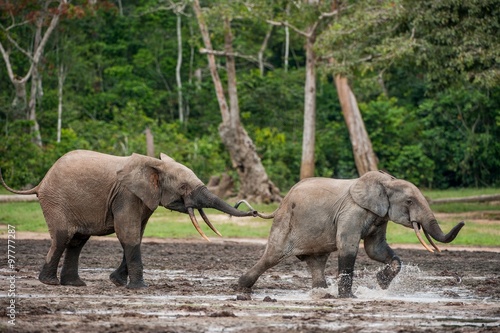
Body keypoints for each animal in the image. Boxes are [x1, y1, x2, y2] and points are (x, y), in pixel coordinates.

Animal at [0, 150, 256, 288]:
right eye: (183, 187)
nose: (253, 211)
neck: (155, 164)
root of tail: (41, 183)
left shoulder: (143, 198)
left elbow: (137, 235)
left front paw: (117, 282)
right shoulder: (126, 195)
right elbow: (128, 233)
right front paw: (139, 287)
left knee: (77, 241)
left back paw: (74, 284)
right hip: (56, 201)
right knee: (63, 237)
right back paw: (49, 283)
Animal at [238, 170, 464, 296]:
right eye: (409, 201)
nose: (462, 221)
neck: (387, 182)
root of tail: (281, 203)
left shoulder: (380, 216)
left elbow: (375, 249)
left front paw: (381, 282)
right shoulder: (351, 211)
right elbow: (348, 246)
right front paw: (349, 298)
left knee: (317, 262)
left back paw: (322, 293)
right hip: (285, 222)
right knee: (272, 256)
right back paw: (240, 287)